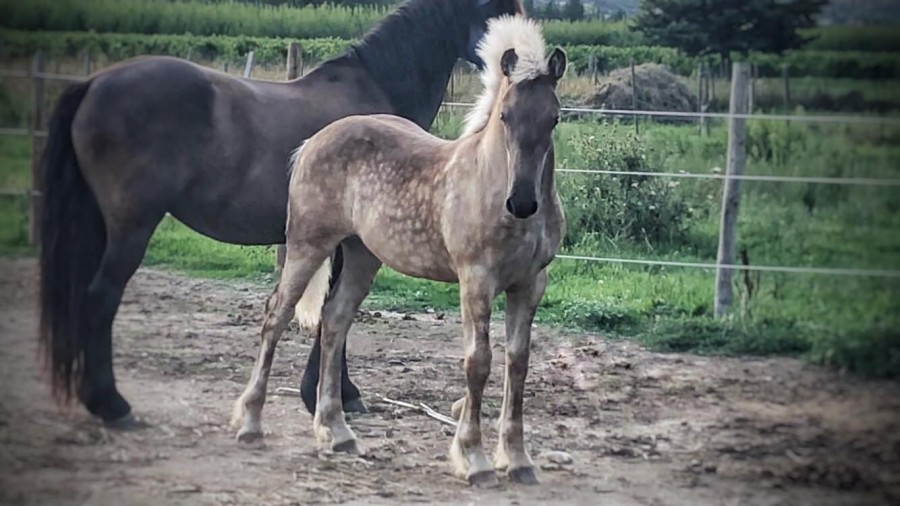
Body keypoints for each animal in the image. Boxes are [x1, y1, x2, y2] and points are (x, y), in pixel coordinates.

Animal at [38, 0, 525, 428]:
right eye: (500, 11)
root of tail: (93, 84)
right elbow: (332, 312)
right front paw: (334, 395)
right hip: (131, 227)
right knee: (101, 297)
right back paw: (111, 404)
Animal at [232, 15, 567, 487]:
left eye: (554, 118)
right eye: (505, 115)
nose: (521, 202)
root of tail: (312, 141)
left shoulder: (529, 284)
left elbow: (517, 363)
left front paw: (518, 461)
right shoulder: (476, 280)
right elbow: (479, 362)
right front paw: (475, 459)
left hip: (361, 255)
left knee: (334, 322)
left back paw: (338, 432)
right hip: (307, 244)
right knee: (276, 315)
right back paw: (250, 423)